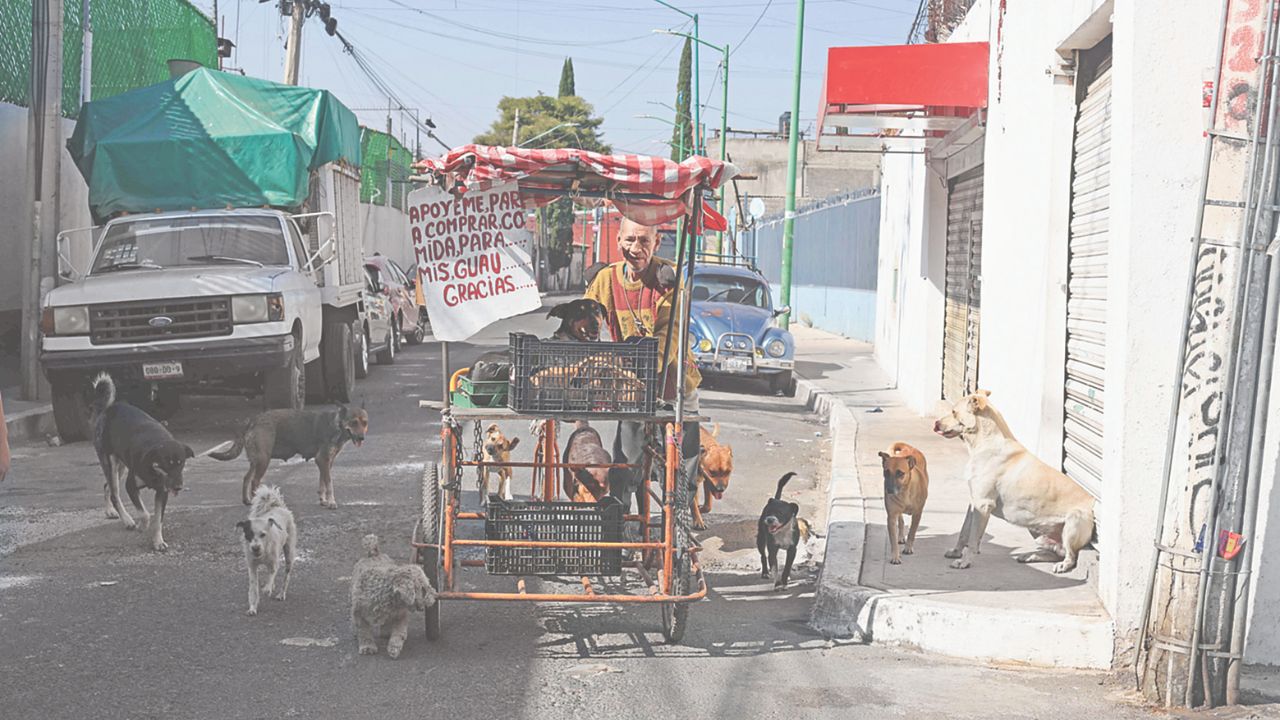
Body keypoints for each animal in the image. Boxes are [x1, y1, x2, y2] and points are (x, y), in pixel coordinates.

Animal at [90, 368, 194, 548]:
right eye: (166, 464)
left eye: (181, 463)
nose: (178, 487)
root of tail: (106, 410)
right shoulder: (131, 486)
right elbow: (145, 514)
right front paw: (142, 526)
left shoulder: (162, 492)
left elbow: (158, 519)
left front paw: (158, 541)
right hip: (110, 462)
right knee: (114, 493)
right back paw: (127, 520)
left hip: (121, 465)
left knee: (106, 485)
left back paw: (109, 511)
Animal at [211, 404, 368, 509]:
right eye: (354, 422)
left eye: (365, 422)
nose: (362, 438)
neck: (337, 424)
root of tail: (253, 420)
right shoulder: (322, 460)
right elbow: (329, 483)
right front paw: (331, 502)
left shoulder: (326, 462)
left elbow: (322, 482)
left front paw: (323, 500)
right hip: (263, 460)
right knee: (255, 481)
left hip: (256, 460)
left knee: (246, 478)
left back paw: (247, 500)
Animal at [234, 481, 295, 609]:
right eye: (249, 534)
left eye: (263, 534)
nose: (255, 548)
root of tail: (278, 506)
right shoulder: (252, 567)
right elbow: (253, 588)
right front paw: (252, 607)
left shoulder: (273, 563)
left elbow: (272, 574)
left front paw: (267, 588)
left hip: (289, 554)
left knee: (286, 576)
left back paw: (281, 594)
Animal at [936, 389, 1095, 568]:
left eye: (953, 412)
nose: (936, 423)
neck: (985, 443)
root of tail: (1093, 502)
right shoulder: (974, 502)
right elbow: (964, 531)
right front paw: (956, 552)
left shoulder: (983, 504)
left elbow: (973, 538)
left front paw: (964, 561)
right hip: (1037, 530)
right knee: (1056, 553)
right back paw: (1030, 556)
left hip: (1074, 521)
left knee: (1071, 556)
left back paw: (1062, 565)